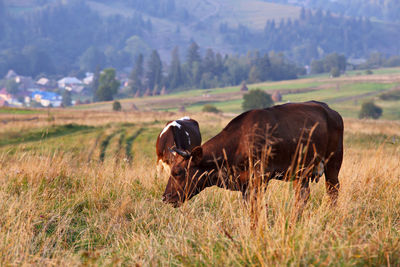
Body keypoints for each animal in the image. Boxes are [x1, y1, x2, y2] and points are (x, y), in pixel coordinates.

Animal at [162, 101, 344, 213]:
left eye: (178, 172)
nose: (165, 197)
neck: (240, 141)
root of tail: (330, 111)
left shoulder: (259, 179)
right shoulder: (245, 185)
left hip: (333, 163)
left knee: (333, 191)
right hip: (301, 174)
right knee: (302, 197)